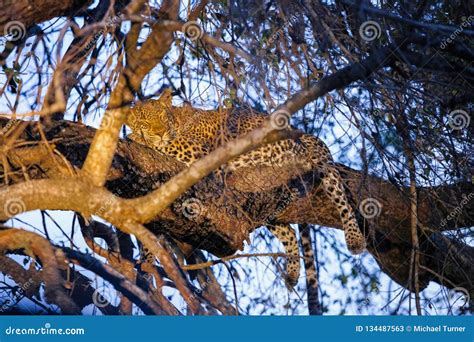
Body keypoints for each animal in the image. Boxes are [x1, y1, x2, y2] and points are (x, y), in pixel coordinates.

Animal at [127, 89, 366, 288]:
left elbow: (165, 144)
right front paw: (145, 264)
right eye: (146, 122)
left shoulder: (198, 153)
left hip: (319, 165)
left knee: (342, 201)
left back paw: (355, 240)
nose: (159, 133)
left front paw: (134, 137)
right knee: (288, 231)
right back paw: (292, 273)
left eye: (162, 118)